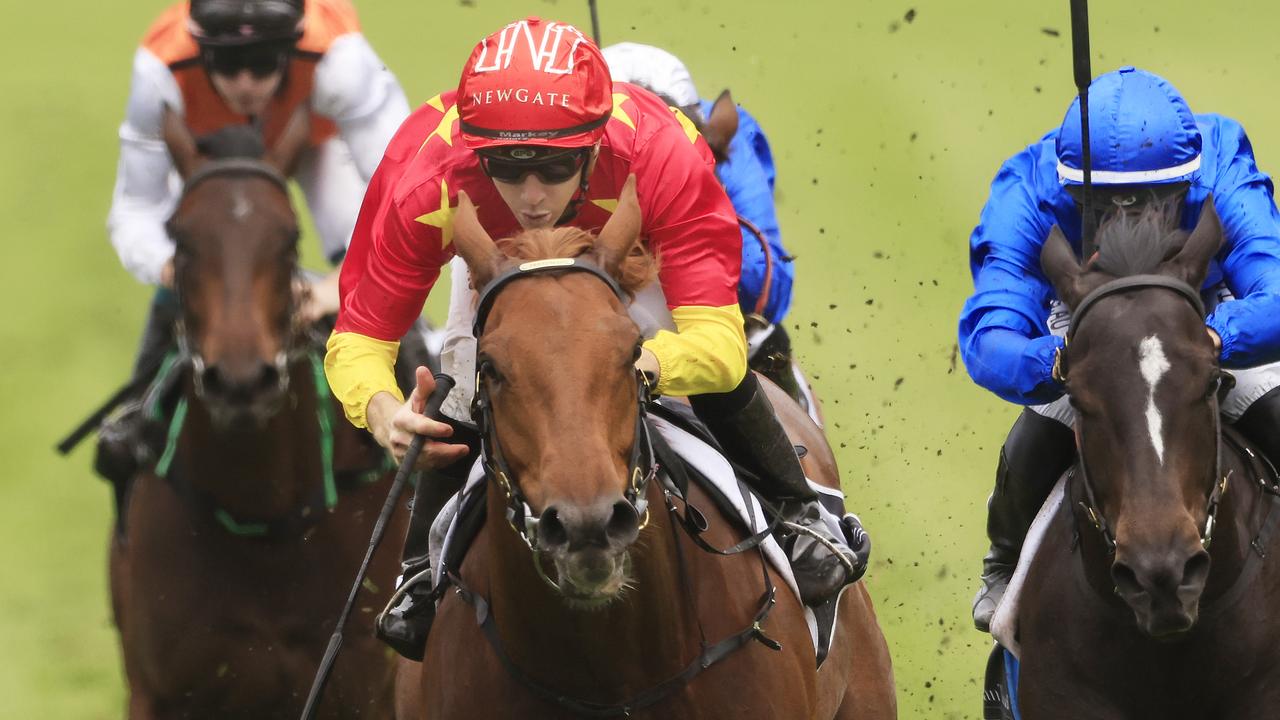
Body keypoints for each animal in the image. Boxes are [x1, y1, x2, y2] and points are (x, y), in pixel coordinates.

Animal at [114, 119, 407, 717]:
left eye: (290, 237)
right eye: (181, 238)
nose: (242, 381)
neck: (264, 512)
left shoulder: (364, 682)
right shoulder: (156, 690)